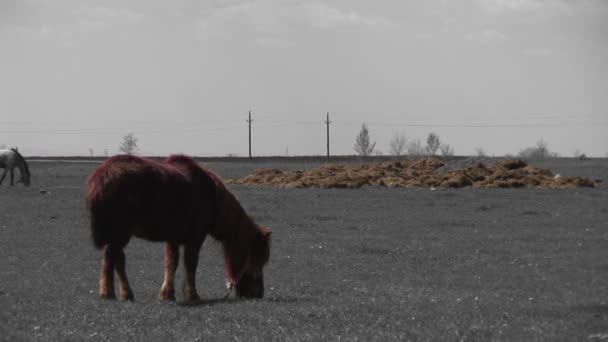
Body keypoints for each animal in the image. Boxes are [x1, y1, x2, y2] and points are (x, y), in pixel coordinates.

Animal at [86, 155, 274, 302]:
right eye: (258, 259)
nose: (258, 294)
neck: (211, 196)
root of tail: (101, 177)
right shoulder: (196, 238)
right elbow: (190, 264)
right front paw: (192, 294)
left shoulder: (173, 238)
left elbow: (171, 263)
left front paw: (167, 294)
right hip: (121, 233)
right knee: (113, 257)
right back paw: (113, 293)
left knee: (115, 258)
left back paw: (120, 294)